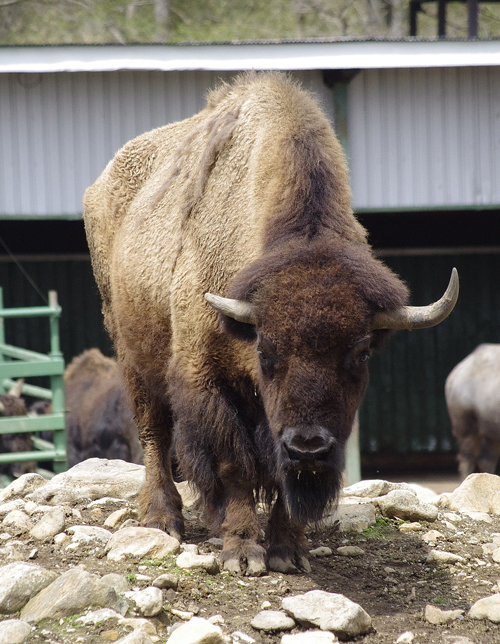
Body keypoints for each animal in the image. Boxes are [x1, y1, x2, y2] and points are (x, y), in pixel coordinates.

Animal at [84, 71, 458, 572]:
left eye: (361, 352)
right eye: (264, 348)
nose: (308, 447)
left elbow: (280, 480)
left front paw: (288, 551)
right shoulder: (211, 382)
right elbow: (234, 465)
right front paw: (242, 551)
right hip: (130, 353)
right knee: (154, 433)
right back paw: (163, 518)